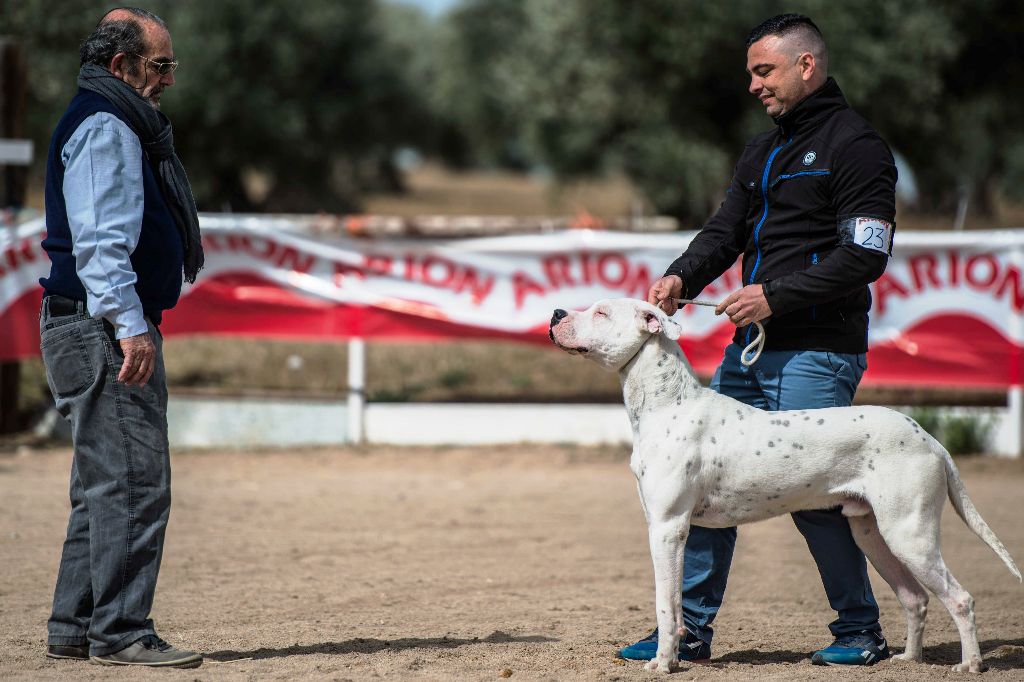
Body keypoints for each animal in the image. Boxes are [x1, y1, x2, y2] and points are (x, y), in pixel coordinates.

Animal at [557, 299, 1019, 675]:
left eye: (601, 312)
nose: (557, 314)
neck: (668, 403)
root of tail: (930, 439)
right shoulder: (679, 526)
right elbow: (678, 600)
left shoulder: (667, 528)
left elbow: (666, 603)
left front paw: (662, 663)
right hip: (874, 532)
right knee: (915, 598)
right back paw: (908, 659)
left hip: (910, 533)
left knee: (960, 598)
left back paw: (970, 665)